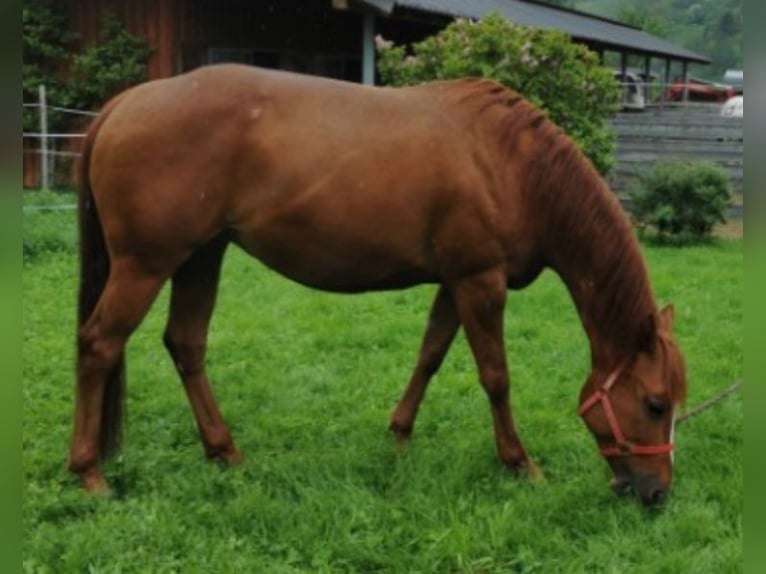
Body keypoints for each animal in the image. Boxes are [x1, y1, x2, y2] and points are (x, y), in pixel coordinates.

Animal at [69, 63, 688, 506]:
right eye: (655, 404)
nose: (657, 493)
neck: (512, 165)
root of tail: (126, 103)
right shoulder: (480, 283)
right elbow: (496, 377)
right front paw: (519, 462)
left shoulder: (455, 283)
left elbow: (430, 355)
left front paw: (399, 434)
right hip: (145, 265)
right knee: (100, 344)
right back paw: (89, 473)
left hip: (201, 257)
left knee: (186, 344)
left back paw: (224, 452)